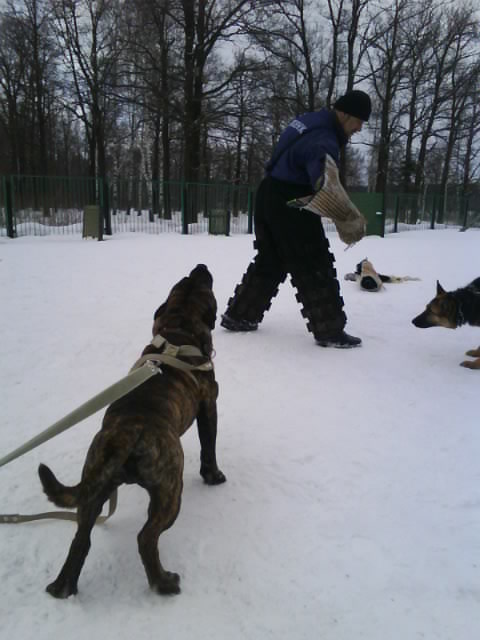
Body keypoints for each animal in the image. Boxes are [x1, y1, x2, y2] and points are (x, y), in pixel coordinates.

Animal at [38, 264, 226, 598]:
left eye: (186, 281)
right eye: (205, 285)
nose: (201, 266)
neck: (178, 331)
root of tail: (125, 436)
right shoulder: (209, 407)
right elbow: (209, 446)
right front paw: (214, 476)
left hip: (94, 484)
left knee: (81, 538)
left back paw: (62, 588)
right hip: (169, 491)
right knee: (146, 538)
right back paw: (164, 583)